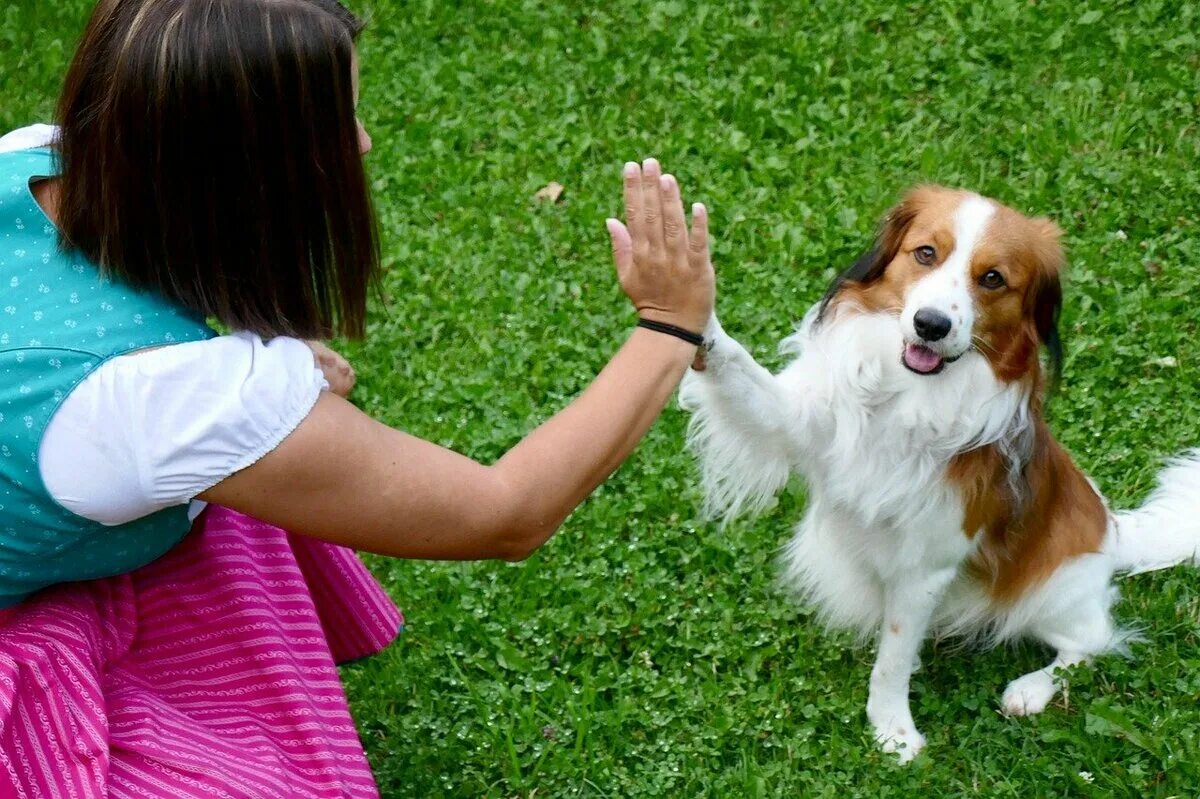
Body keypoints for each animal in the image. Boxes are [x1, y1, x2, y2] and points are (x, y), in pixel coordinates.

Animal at [681, 183, 1200, 763]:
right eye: (925, 253)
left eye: (992, 278)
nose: (931, 324)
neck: (911, 397)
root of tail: (1114, 533)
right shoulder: (800, 422)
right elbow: (743, 374)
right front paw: (692, 307)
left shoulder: (925, 567)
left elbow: (892, 660)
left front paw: (893, 732)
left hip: (1053, 595)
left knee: (1092, 640)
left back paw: (1032, 689)